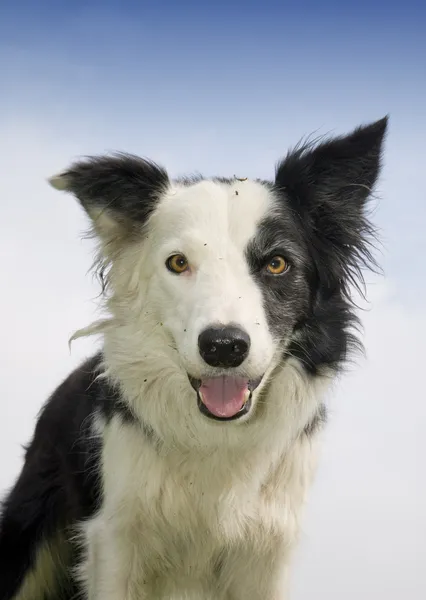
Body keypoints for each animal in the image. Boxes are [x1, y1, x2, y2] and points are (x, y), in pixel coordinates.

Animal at [0, 115, 386, 596]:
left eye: (277, 264)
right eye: (178, 263)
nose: (223, 347)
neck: (215, 438)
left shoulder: (267, 549)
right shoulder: (114, 541)